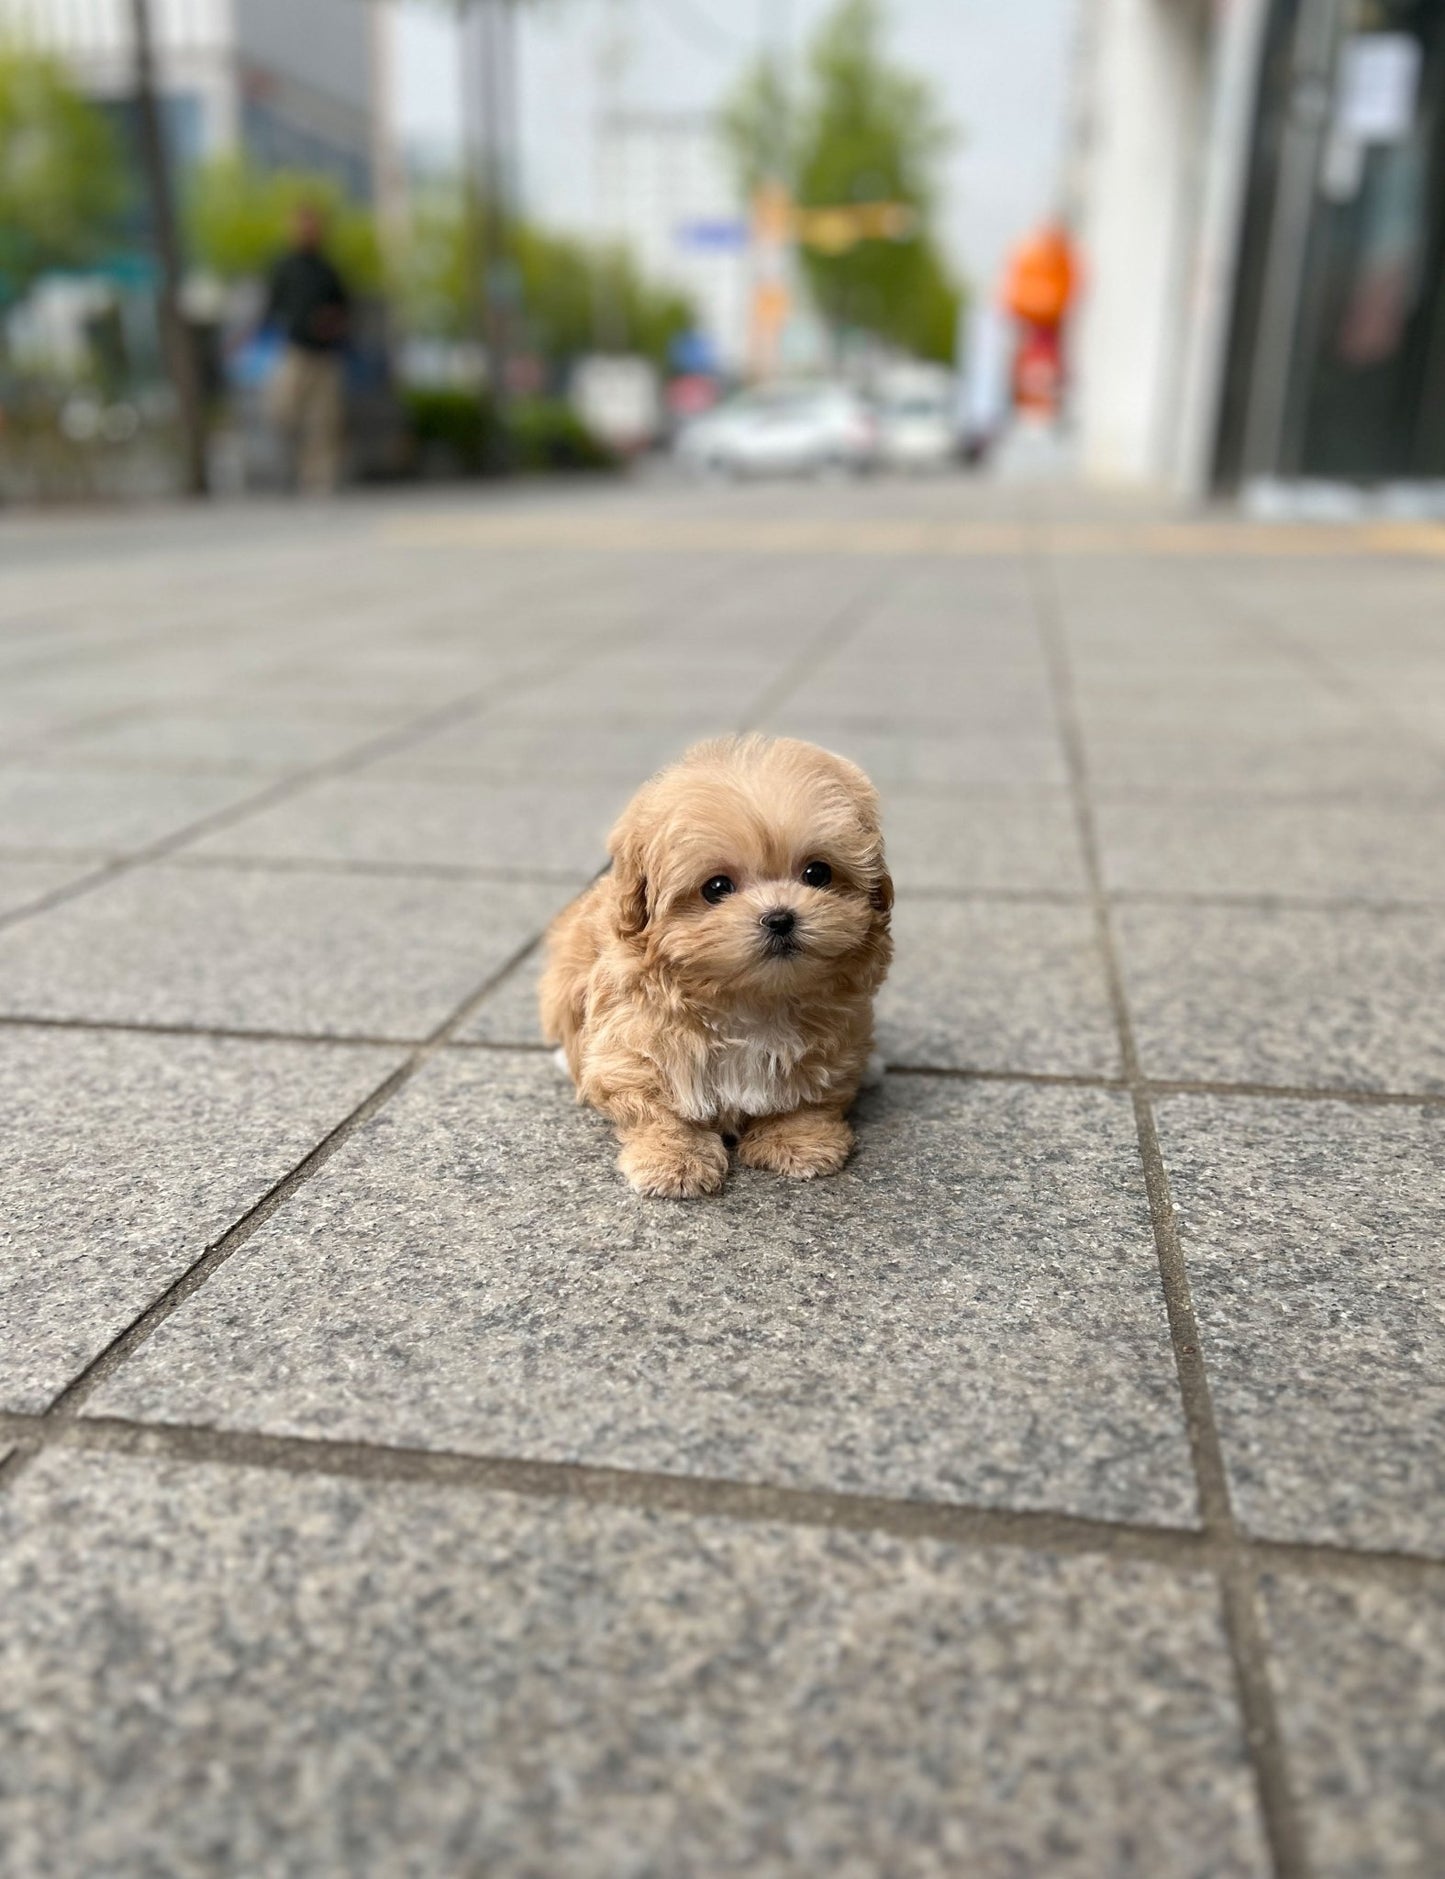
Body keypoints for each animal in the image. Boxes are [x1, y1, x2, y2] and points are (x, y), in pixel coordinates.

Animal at [533, 736, 886, 1195]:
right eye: (716, 887)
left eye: (817, 873)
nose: (780, 918)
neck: (749, 998)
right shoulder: (634, 1046)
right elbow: (657, 1108)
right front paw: (673, 1158)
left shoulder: (834, 1042)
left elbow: (811, 1096)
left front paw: (798, 1139)